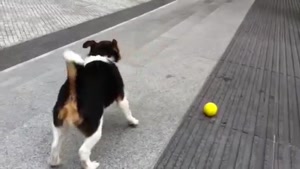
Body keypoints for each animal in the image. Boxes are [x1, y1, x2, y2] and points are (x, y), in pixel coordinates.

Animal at [48, 39, 139, 169]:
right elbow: (128, 111)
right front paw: (133, 121)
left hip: (60, 126)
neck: (99, 55)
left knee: (54, 146)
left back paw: (55, 162)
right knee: (83, 151)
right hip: (94, 130)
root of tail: (73, 90)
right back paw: (90, 165)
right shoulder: (121, 97)